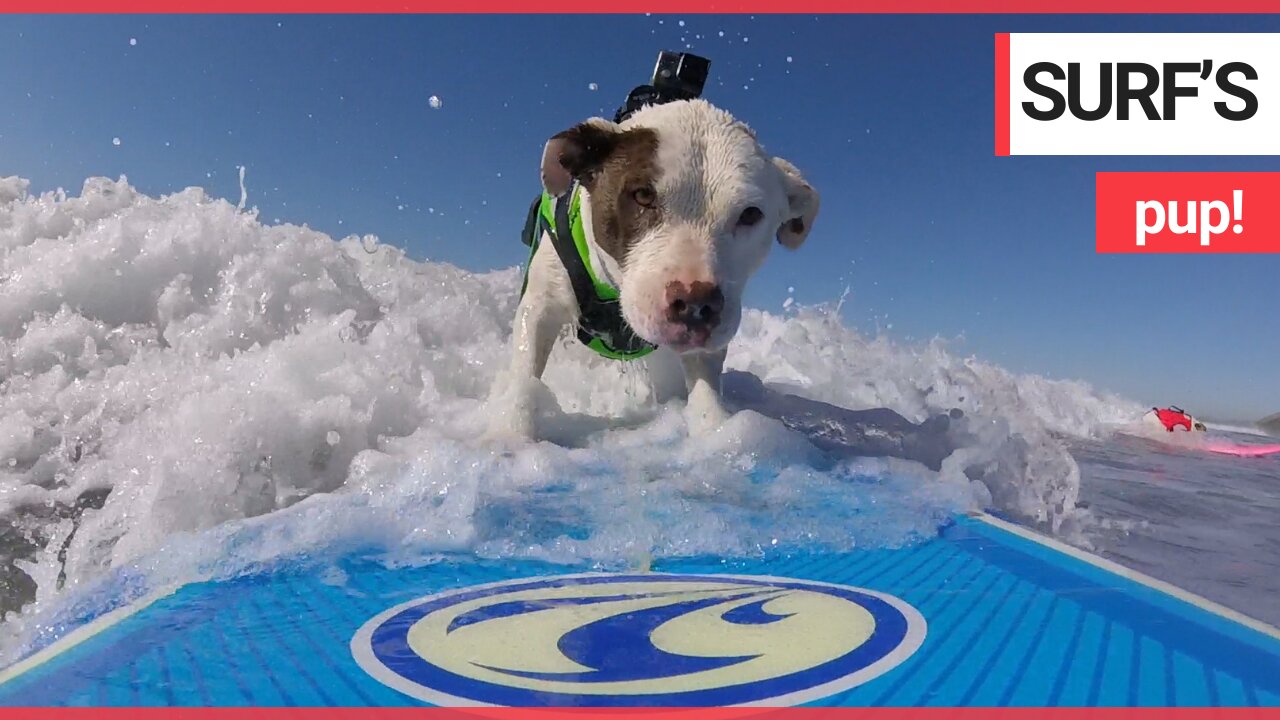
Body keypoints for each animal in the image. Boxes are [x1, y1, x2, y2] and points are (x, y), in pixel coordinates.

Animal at [483, 98, 824, 440]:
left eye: (751, 214)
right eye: (643, 195)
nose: (696, 303)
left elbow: (706, 384)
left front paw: (715, 429)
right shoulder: (543, 303)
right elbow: (526, 372)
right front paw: (511, 432)